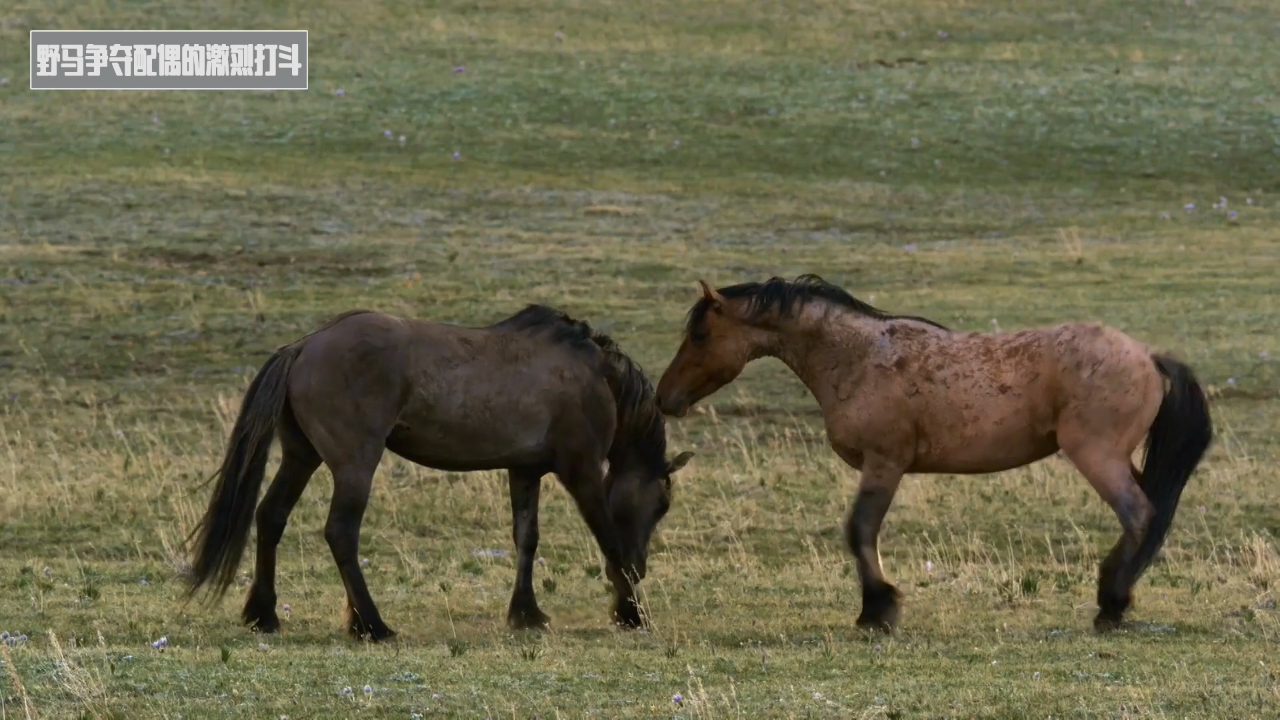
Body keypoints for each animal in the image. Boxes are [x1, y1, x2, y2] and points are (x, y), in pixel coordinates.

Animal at [185, 303, 696, 638]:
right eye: (662, 505)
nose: (642, 568)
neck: (592, 376)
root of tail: (304, 345)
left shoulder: (524, 470)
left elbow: (526, 540)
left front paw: (526, 613)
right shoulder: (582, 470)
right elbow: (608, 538)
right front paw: (631, 613)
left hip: (300, 456)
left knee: (271, 517)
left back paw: (263, 615)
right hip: (354, 464)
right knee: (340, 532)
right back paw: (372, 624)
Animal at [660, 271, 1208, 630]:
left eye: (700, 334)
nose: (667, 397)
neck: (859, 357)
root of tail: (1150, 357)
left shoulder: (885, 464)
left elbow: (861, 530)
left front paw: (878, 610)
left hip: (1097, 457)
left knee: (1138, 515)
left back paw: (1109, 605)